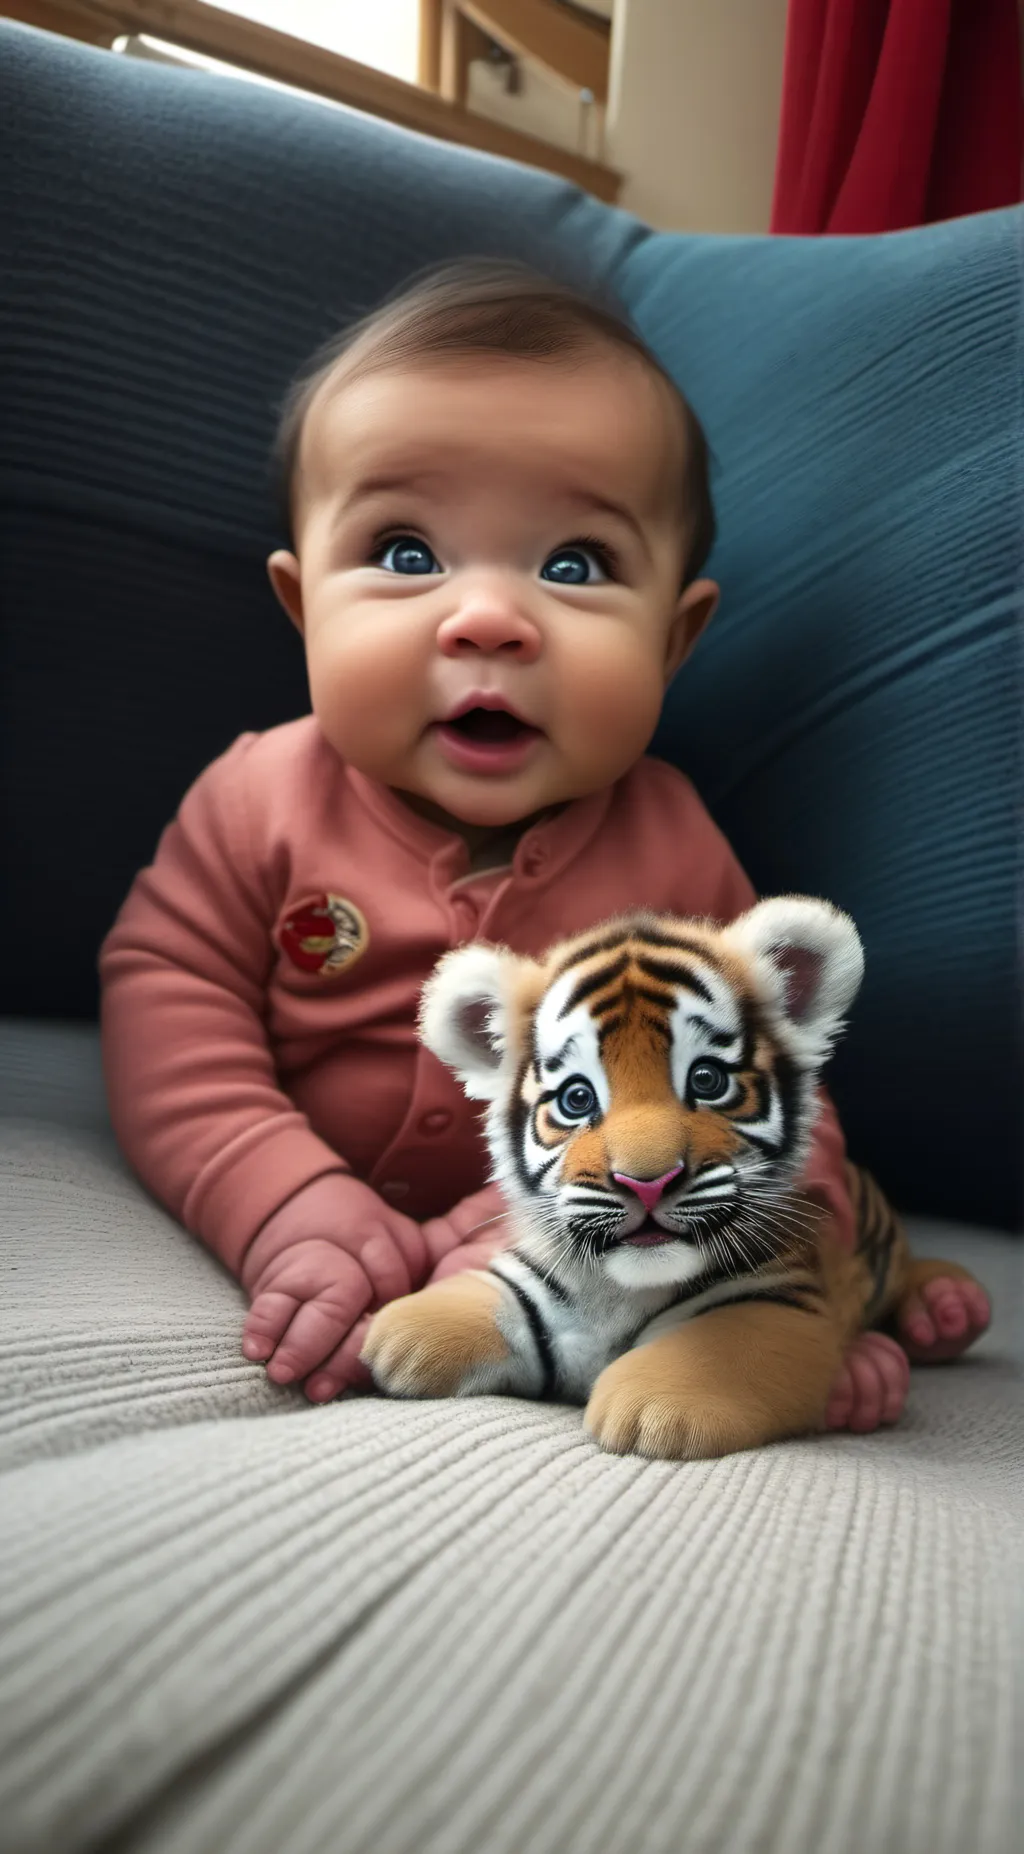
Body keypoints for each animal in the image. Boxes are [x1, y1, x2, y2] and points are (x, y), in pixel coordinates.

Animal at [362, 897, 985, 1459]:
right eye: (576, 1099)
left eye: (707, 1080)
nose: (647, 1182)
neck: (620, 1289)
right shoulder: (532, 1287)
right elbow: (479, 1302)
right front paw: (396, 1334)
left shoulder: (776, 1303)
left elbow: (711, 1352)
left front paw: (651, 1409)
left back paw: (943, 1312)